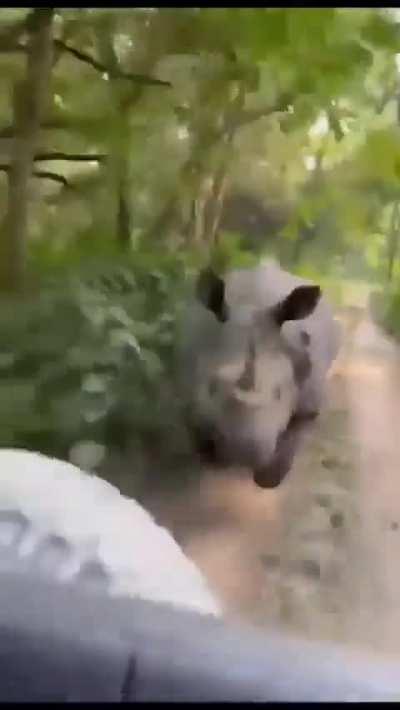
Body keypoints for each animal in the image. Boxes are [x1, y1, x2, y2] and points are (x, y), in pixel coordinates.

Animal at [178, 259, 341, 489]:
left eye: (279, 393)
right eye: (212, 387)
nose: (243, 453)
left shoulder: (309, 403)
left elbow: (296, 432)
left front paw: (269, 477)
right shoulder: (189, 386)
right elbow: (197, 423)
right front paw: (209, 456)